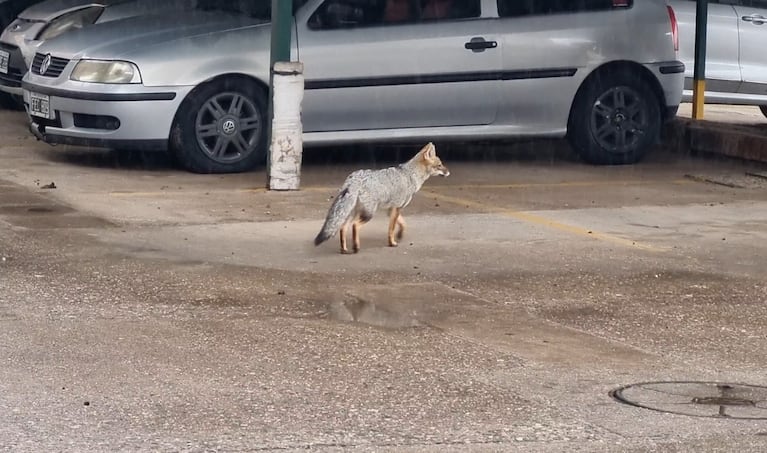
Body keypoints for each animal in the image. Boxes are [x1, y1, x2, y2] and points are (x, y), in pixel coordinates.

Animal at [316, 143, 450, 252]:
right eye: (440, 165)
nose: (448, 172)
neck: (410, 174)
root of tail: (353, 179)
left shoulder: (391, 208)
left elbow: (402, 223)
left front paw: (400, 234)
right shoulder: (398, 207)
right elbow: (391, 229)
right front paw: (392, 243)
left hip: (352, 212)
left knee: (343, 228)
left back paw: (344, 249)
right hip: (368, 214)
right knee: (354, 225)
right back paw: (356, 247)